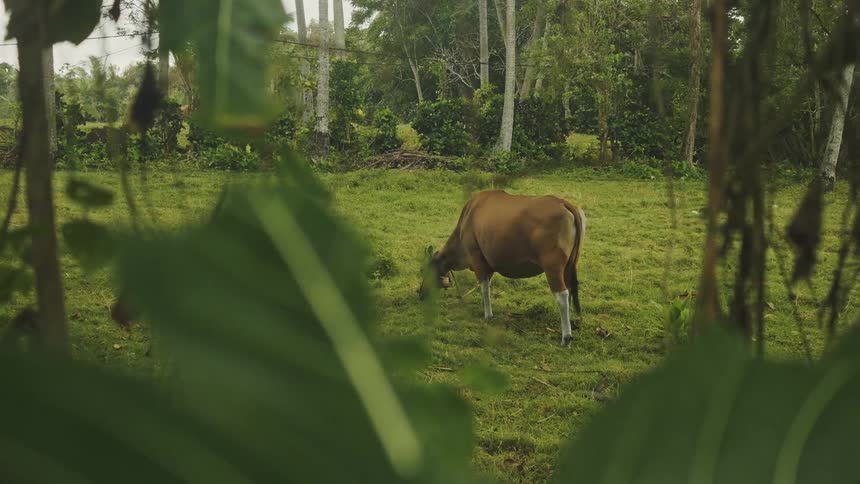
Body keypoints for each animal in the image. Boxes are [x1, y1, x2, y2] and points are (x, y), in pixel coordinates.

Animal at [424, 190, 586, 347]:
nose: (421, 293)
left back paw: (566, 337)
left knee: (562, 295)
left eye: (423, 271)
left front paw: (488, 314)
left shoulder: (478, 260)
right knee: (570, 291)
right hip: (569, 266)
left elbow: (484, 288)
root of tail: (563, 203)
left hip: (553, 268)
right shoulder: (488, 267)